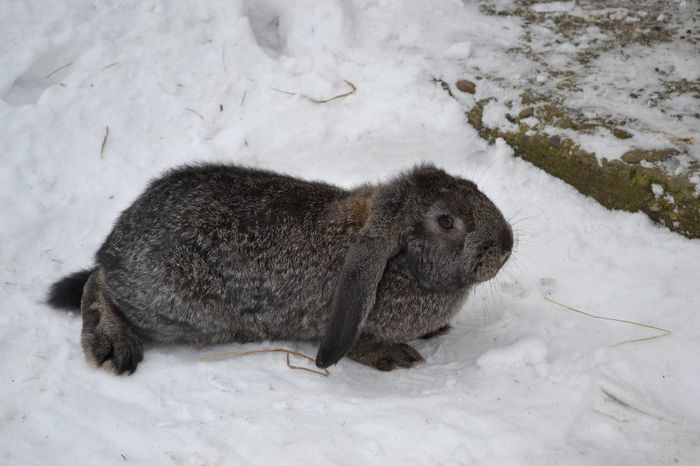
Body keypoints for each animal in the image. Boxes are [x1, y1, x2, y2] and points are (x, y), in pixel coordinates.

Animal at [46, 164, 512, 374]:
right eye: (446, 221)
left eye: (472, 187)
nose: (507, 246)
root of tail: (114, 247)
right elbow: (356, 344)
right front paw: (394, 356)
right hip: (183, 312)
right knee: (98, 286)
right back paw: (113, 346)